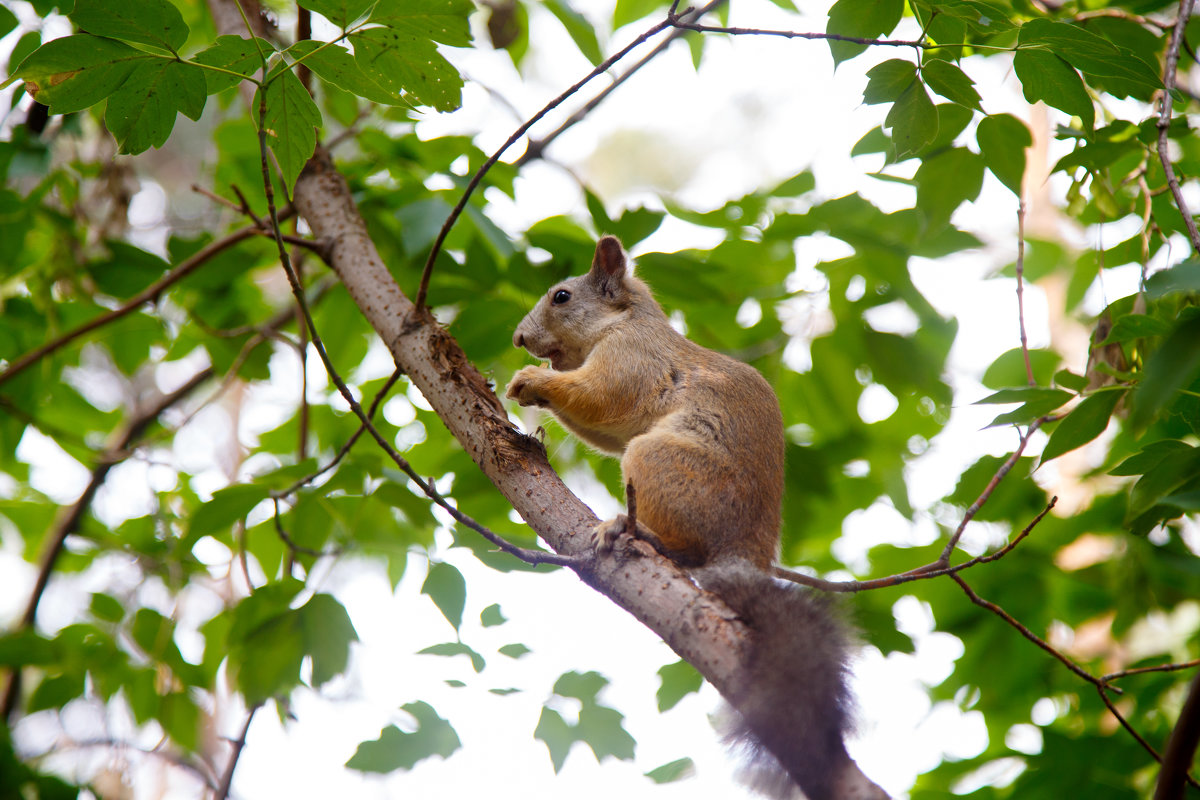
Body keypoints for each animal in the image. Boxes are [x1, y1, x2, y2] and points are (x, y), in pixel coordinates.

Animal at [501, 235, 888, 800]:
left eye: (562, 297)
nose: (518, 337)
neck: (624, 322)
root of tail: (746, 554)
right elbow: (600, 427)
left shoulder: (632, 361)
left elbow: (599, 396)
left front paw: (532, 380)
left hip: (658, 461)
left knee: (685, 545)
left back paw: (632, 530)